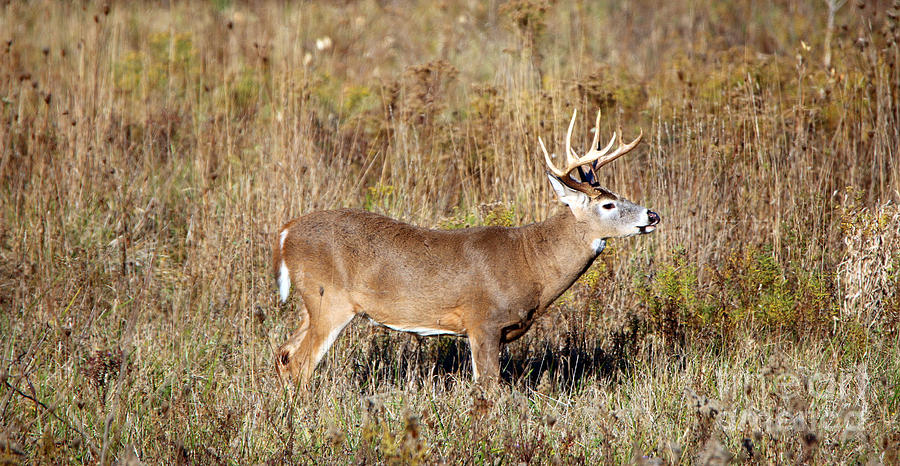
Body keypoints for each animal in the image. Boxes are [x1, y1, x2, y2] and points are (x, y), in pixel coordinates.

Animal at [270, 109, 656, 386]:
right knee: (301, 362)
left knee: (284, 352)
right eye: (608, 204)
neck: (531, 262)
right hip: (330, 299)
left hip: (311, 303)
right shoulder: (483, 320)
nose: (653, 214)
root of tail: (286, 233)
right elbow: (489, 386)